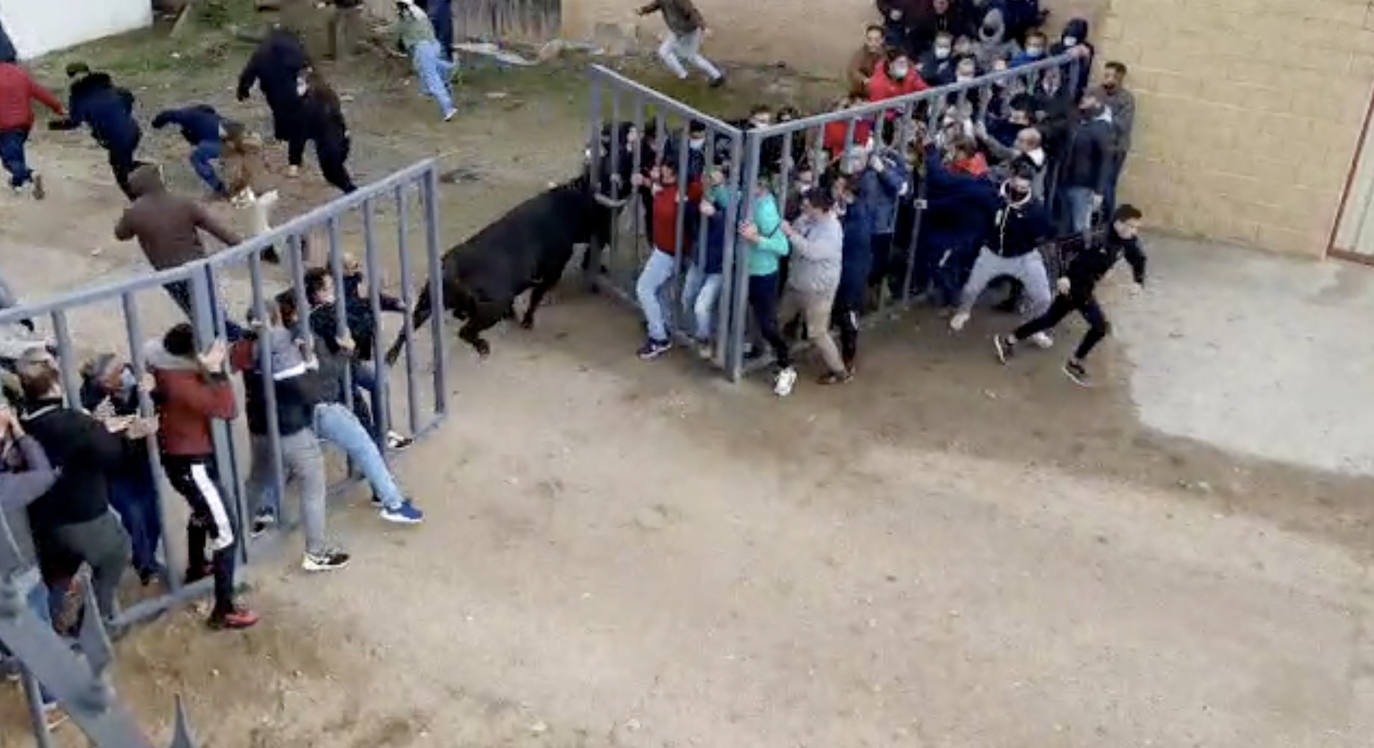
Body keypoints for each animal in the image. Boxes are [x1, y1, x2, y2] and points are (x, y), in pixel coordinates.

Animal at [381, 173, 629, 363]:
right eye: (600, 213)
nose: (608, 235)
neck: (566, 206)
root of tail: (450, 268)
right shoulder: (553, 270)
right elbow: (536, 297)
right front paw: (527, 321)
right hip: (490, 308)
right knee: (466, 331)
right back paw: (482, 346)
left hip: (425, 304)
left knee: (406, 330)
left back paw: (390, 356)